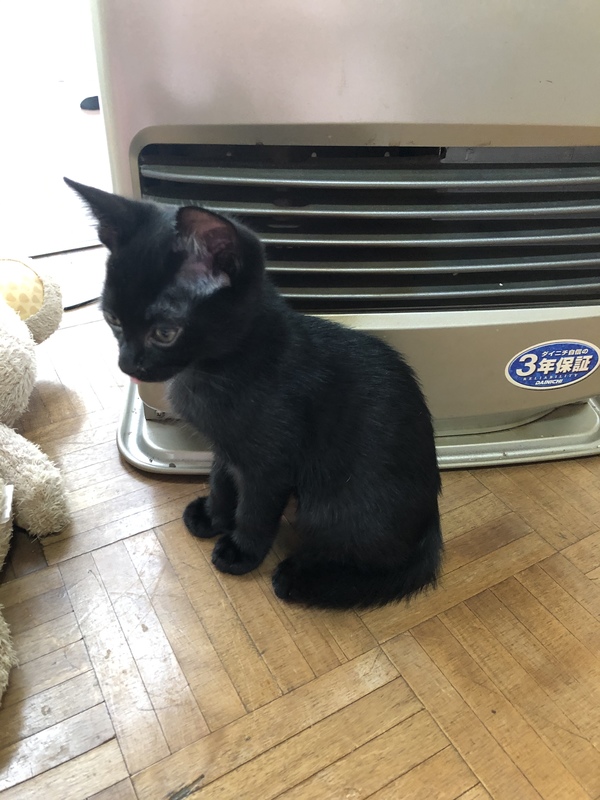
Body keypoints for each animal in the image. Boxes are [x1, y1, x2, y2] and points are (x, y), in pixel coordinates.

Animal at [65, 177, 443, 609]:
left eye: (164, 333)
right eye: (112, 319)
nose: (127, 365)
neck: (217, 369)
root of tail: (431, 526)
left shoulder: (270, 463)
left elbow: (256, 510)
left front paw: (241, 551)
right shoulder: (224, 448)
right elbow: (220, 481)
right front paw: (213, 516)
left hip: (330, 507)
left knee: (384, 564)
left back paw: (303, 578)